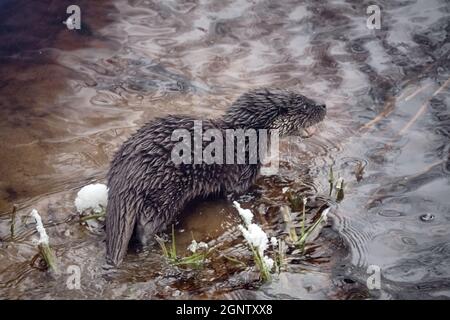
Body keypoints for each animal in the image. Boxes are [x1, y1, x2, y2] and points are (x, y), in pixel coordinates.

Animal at [105, 88, 326, 264]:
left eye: (305, 95)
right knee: (146, 226)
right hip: (164, 192)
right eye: (305, 105)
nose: (323, 104)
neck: (246, 140)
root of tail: (126, 175)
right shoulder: (242, 174)